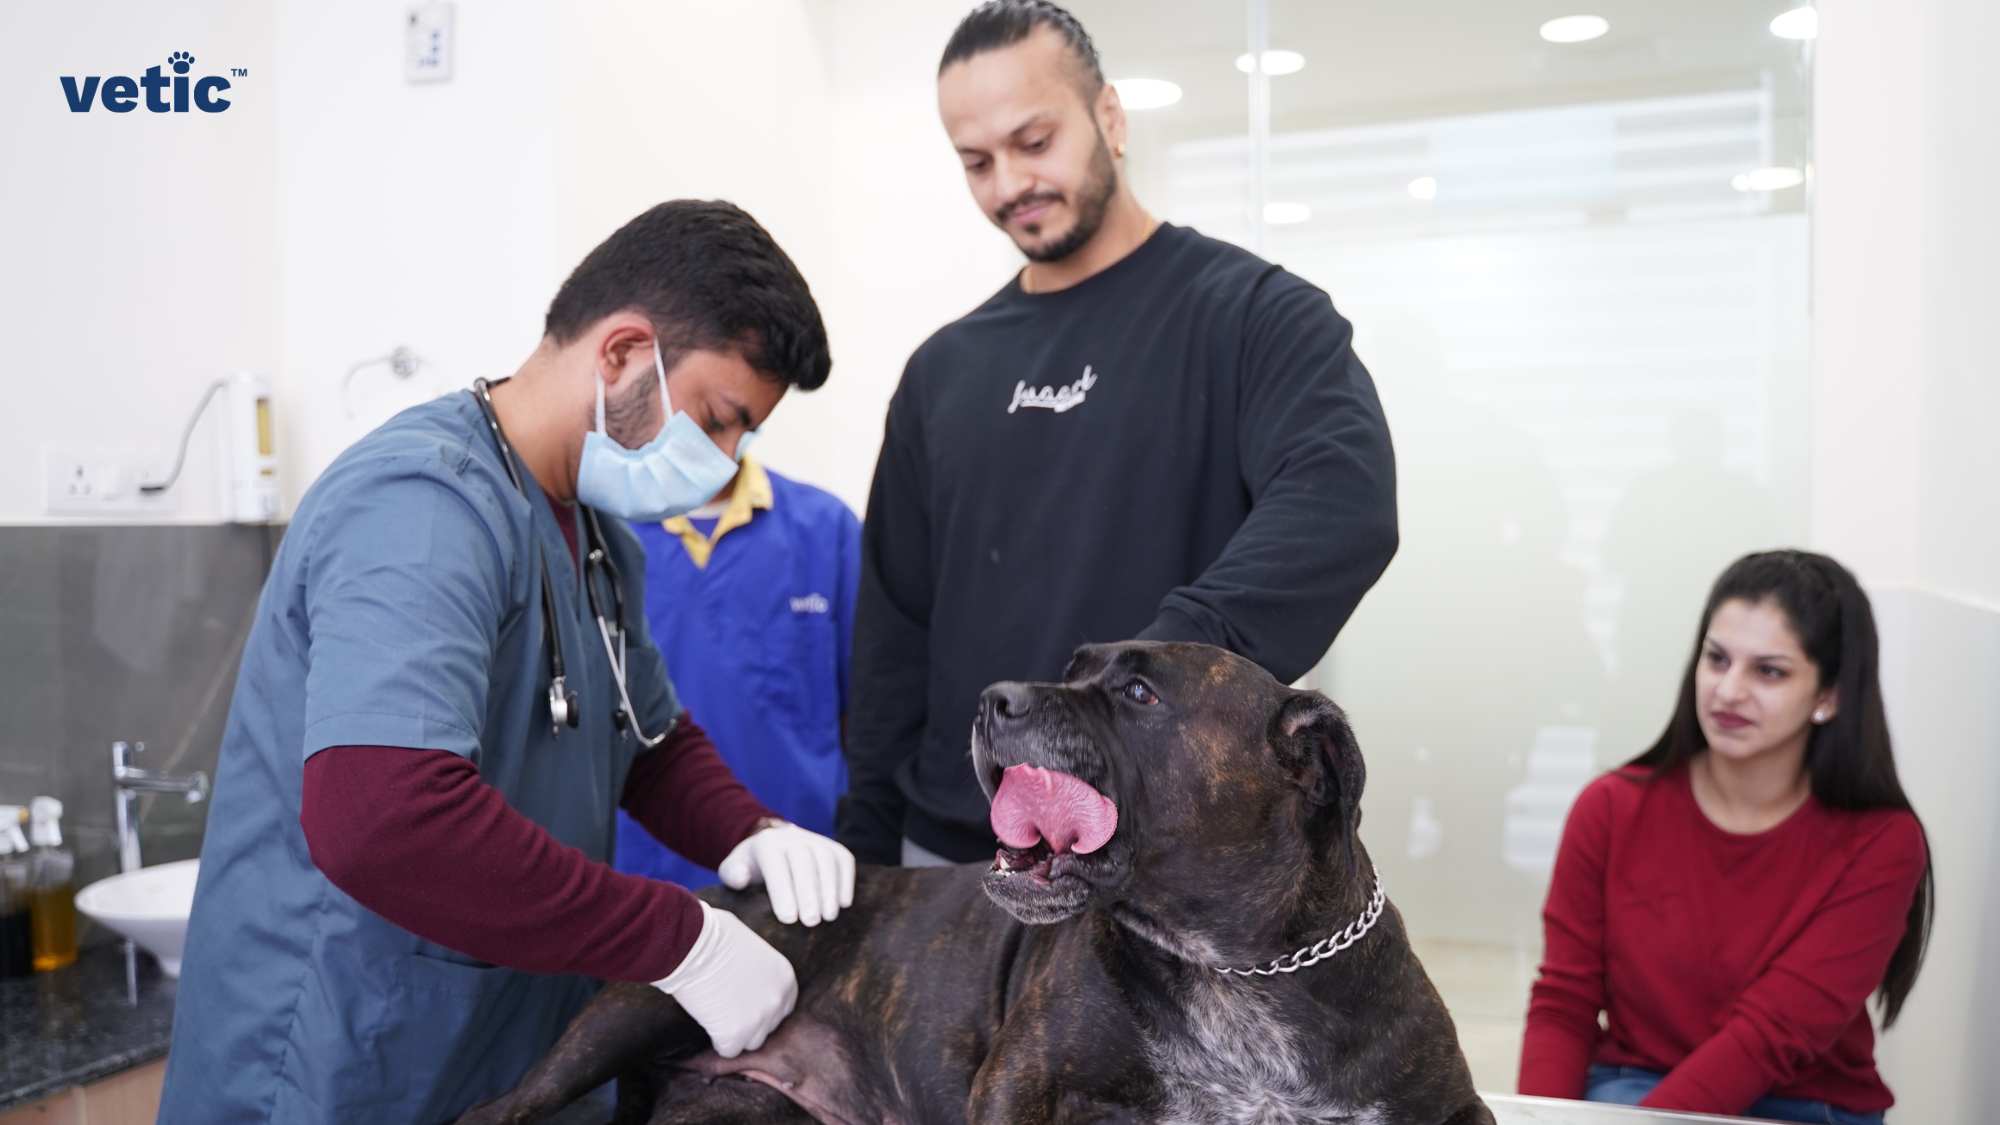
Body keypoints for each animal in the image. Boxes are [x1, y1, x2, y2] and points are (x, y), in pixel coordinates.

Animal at [460, 640, 1496, 1120]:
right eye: (1076, 664)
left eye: (1138, 691)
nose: (995, 697)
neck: (1234, 970)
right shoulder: (1018, 1085)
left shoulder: (1449, 1103)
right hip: (632, 1014)